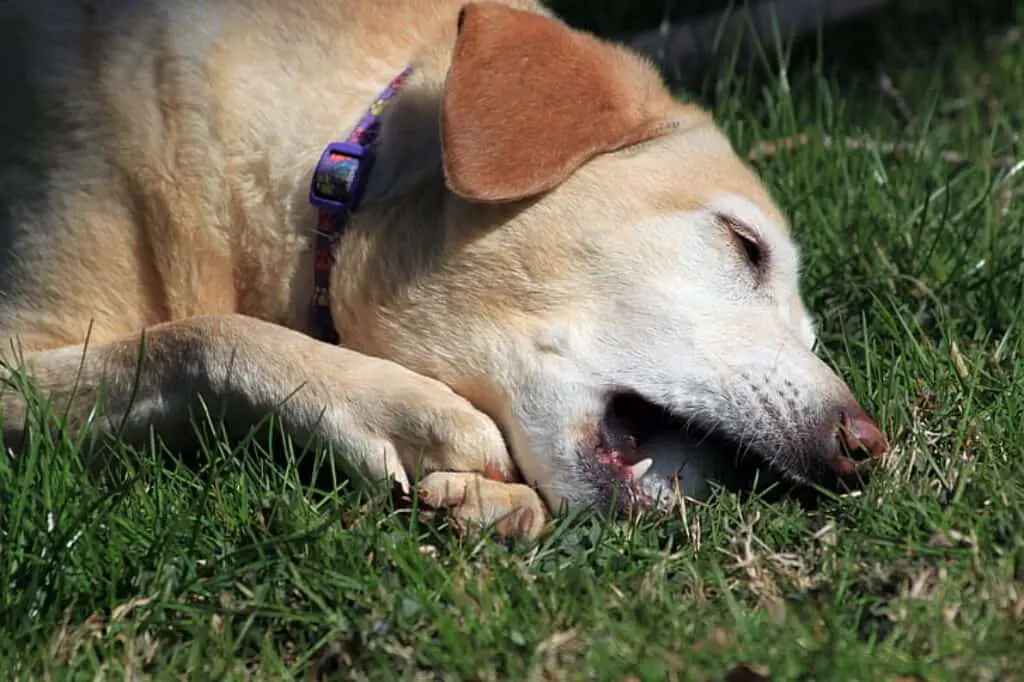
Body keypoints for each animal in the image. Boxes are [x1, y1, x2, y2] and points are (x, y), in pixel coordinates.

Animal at [0, 0, 888, 540]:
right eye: (744, 245)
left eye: (814, 335)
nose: (866, 446)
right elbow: (202, 335)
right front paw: (398, 410)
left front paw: (488, 502)